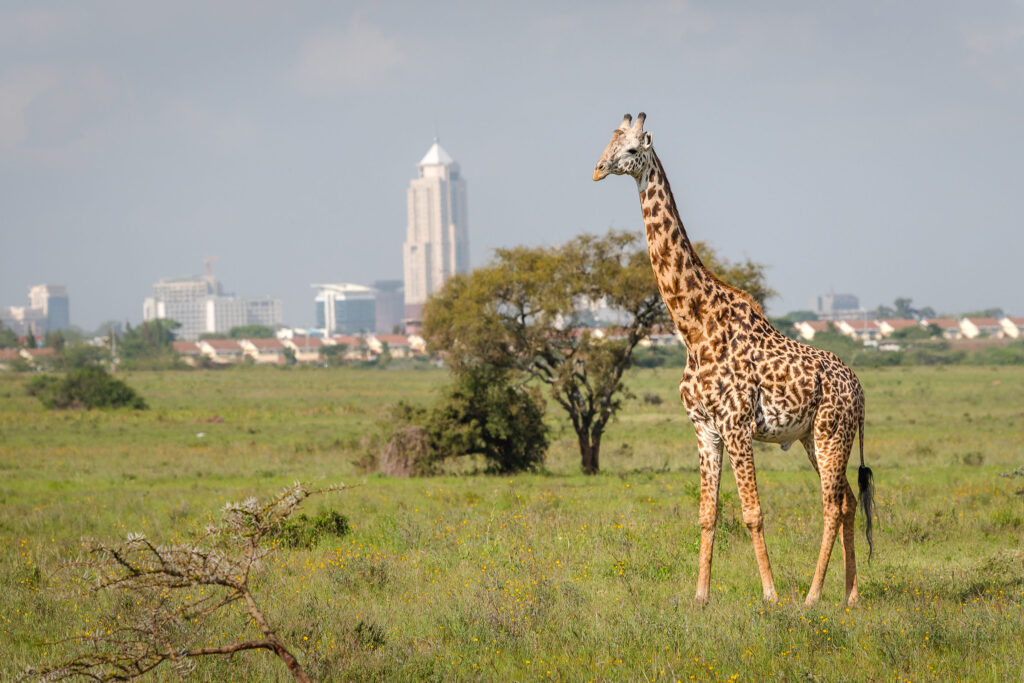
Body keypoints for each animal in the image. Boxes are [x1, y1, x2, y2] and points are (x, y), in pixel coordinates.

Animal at [598, 113, 876, 610]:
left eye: (631, 150)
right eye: (607, 143)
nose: (596, 169)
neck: (694, 327)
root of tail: (860, 390)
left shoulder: (737, 425)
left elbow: (752, 512)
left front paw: (770, 595)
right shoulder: (704, 427)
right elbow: (707, 513)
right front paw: (700, 597)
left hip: (831, 432)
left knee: (831, 504)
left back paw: (811, 597)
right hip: (813, 437)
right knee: (846, 500)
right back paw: (850, 595)